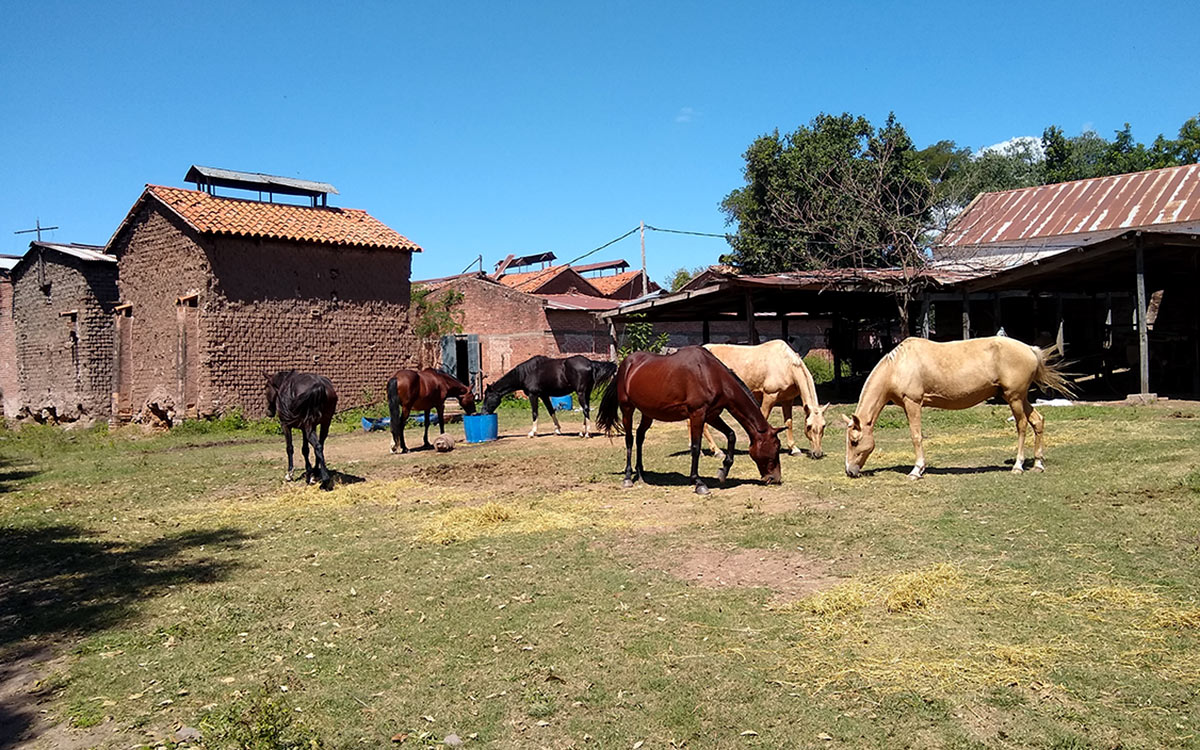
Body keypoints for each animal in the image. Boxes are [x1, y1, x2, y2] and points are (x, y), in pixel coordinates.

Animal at [480, 352, 619, 436]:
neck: (526, 373)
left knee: (585, 409)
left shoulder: (533, 395)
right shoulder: (544, 395)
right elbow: (551, 411)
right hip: (587, 393)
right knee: (587, 409)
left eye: (488, 396)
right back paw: (582, 431)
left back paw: (587, 433)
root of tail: (590, 363)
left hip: (580, 393)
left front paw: (533, 432)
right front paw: (557, 429)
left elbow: (535, 413)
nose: (483, 412)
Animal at [592, 345, 782, 496]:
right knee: (630, 439)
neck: (711, 375)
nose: (775, 478)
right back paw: (628, 476)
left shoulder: (712, 415)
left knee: (639, 437)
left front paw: (723, 471)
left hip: (648, 412)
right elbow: (696, 448)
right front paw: (698, 482)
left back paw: (640, 473)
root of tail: (625, 364)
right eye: (776, 447)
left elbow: (731, 435)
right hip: (627, 408)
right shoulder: (698, 414)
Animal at [700, 338, 830, 456]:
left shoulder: (787, 400)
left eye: (823, 425)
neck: (786, 364)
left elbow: (789, 423)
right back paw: (716, 451)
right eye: (809, 426)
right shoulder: (769, 396)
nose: (818, 453)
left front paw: (794, 449)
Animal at [840, 336, 1075, 477]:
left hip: (1015, 398)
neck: (898, 366)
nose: (850, 471)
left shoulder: (913, 403)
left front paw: (917, 470)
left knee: (1022, 426)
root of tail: (1031, 350)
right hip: (1020, 398)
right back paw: (1038, 464)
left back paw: (1018, 466)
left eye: (854, 441)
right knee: (1038, 421)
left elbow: (916, 436)